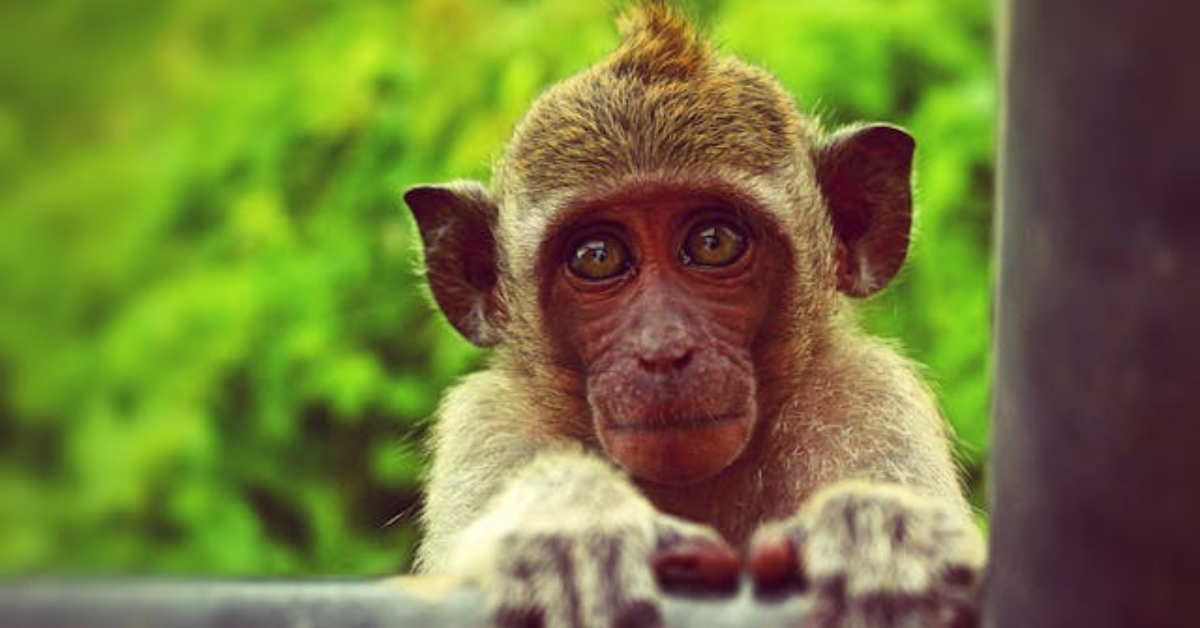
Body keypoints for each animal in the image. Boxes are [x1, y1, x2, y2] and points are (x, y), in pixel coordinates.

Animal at [402, 3, 984, 628]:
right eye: (597, 256)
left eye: (712, 242)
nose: (662, 349)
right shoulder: (490, 423)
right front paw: (571, 522)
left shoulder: (867, 396)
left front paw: (875, 525)